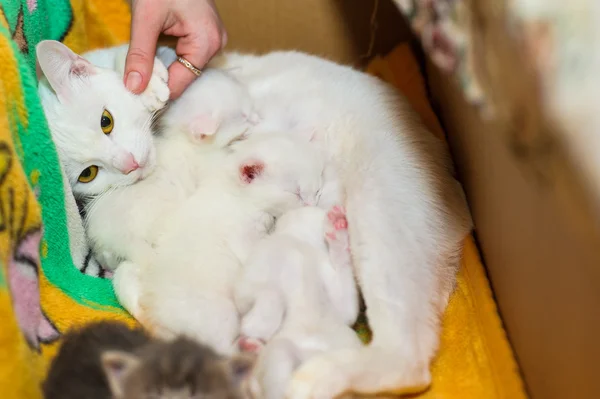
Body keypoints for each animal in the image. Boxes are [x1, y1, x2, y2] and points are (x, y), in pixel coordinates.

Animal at [233, 206, 360, 399]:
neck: (296, 240)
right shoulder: (244, 288)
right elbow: (272, 296)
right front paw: (254, 327)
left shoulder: (343, 309)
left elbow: (346, 303)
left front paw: (338, 234)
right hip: (282, 355)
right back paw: (252, 348)